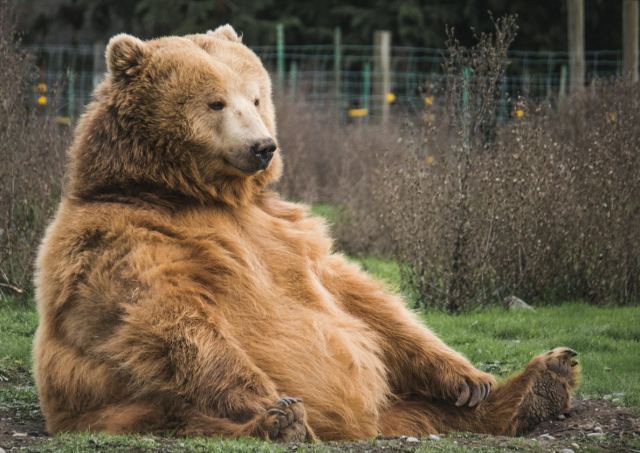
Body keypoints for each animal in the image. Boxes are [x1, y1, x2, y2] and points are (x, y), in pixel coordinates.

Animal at [33, 25, 580, 442]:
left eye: (256, 96)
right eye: (215, 103)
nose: (263, 146)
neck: (193, 194)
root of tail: (363, 425)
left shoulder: (285, 232)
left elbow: (361, 298)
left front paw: (469, 379)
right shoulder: (124, 239)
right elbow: (168, 317)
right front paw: (269, 401)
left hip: (397, 402)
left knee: (429, 408)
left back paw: (540, 383)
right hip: (121, 405)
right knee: (182, 413)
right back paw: (280, 422)